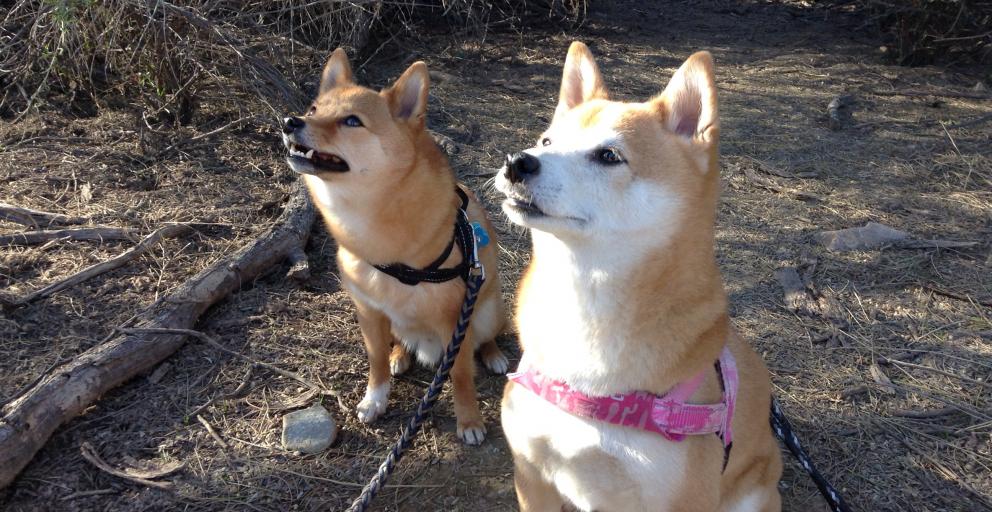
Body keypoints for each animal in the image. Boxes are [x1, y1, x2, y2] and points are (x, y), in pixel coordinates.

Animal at [282, 50, 508, 446]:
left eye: (351, 121)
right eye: (313, 109)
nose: (290, 121)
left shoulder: (456, 322)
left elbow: (461, 375)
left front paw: (469, 420)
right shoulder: (370, 313)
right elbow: (374, 363)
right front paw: (376, 399)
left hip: (487, 310)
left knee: (486, 336)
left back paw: (493, 355)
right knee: (400, 341)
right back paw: (400, 355)